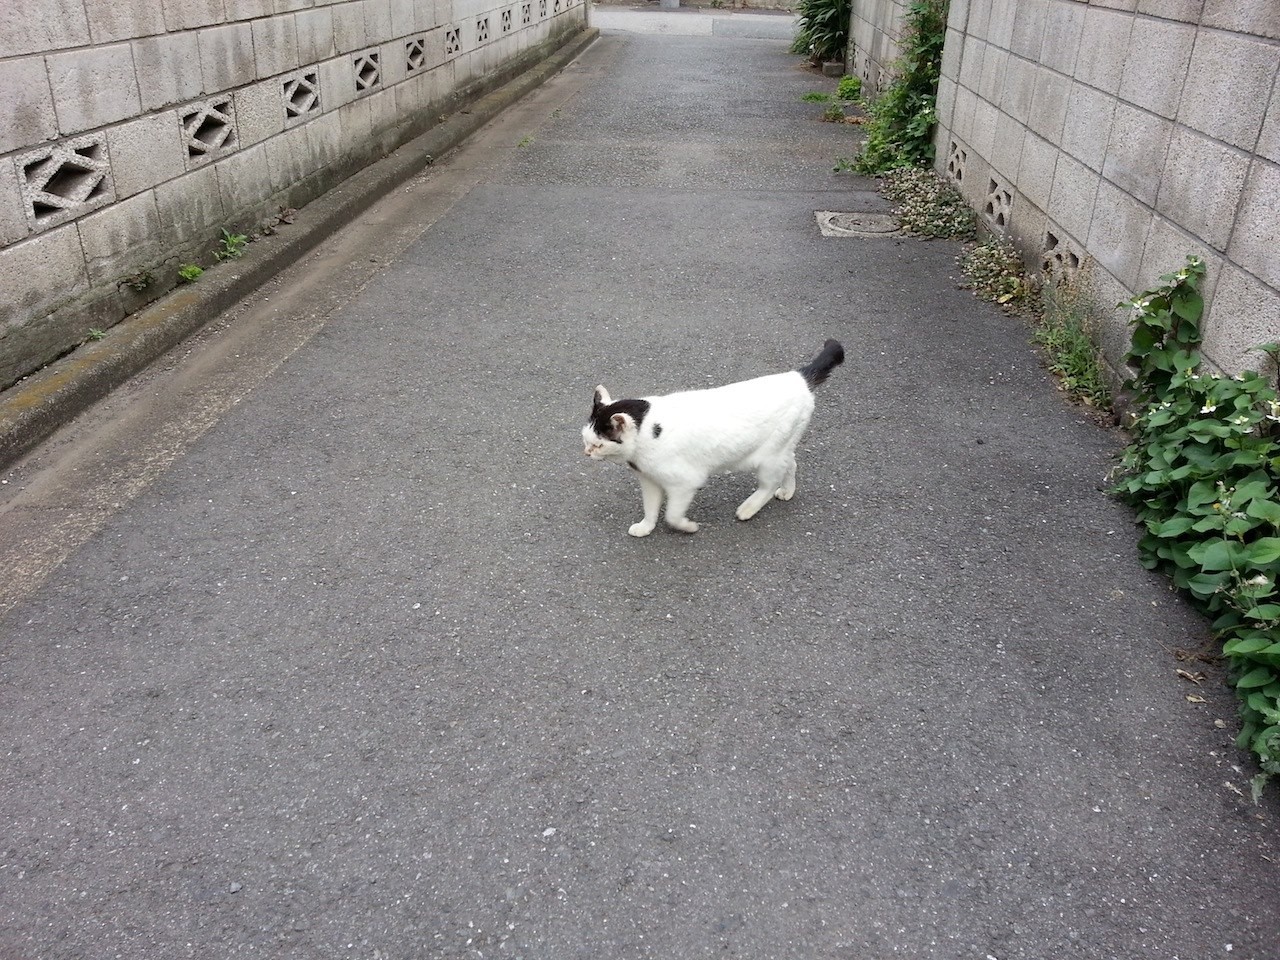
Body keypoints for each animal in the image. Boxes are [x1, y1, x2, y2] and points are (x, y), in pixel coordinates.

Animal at [578, 340, 839, 537]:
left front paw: (688, 527)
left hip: (768, 458)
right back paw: (787, 491)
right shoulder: (650, 481)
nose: (587, 453)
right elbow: (651, 508)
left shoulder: (685, 482)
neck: (645, 436)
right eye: (585, 441)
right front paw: (645, 527)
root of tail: (798, 377)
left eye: (598, 444)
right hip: (781, 448)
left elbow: (672, 515)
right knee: (791, 462)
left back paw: (748, 508)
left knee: (769, 484)